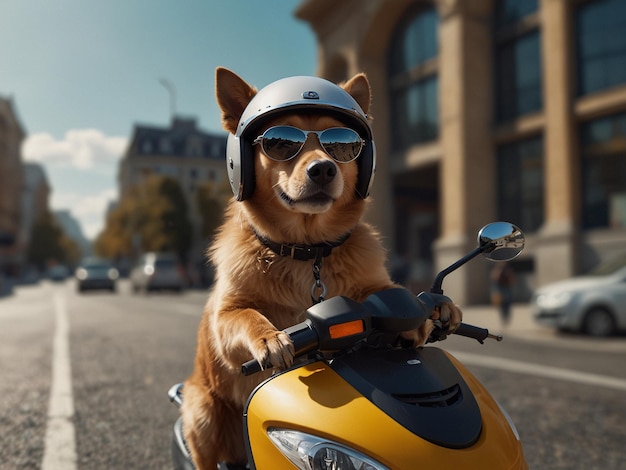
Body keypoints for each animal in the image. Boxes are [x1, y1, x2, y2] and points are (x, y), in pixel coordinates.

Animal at [178, 67, 460, 470]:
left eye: (341, 143)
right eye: (280, 142)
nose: (323, 168)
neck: (307, 252)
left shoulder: (372, 285)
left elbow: (391, 294)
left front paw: (433, 312)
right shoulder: (226, 316)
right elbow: (248, 316)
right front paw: (271, 338)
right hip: (203, 413)